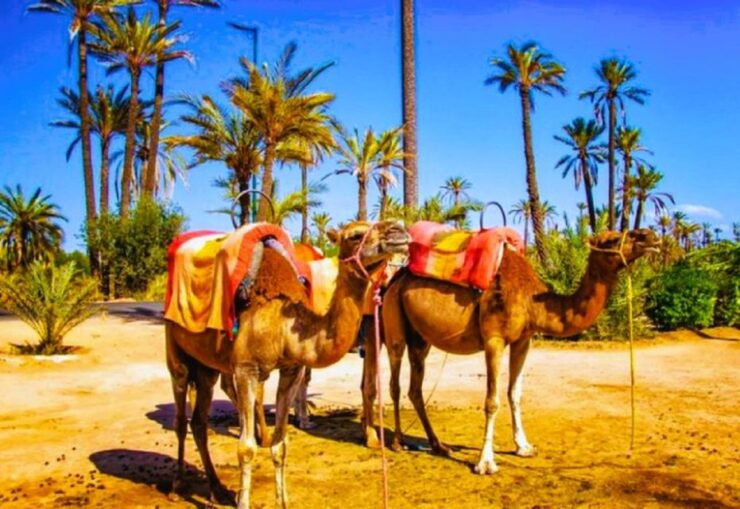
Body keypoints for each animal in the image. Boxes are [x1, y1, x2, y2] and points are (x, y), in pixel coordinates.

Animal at [165, 220, 409, 508]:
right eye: (355, 235)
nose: (399, 230)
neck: (282, 324)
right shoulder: (246, 369)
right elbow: (246, 448)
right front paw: (243, 500)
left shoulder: (291, 369)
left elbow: (280, 445)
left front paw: (282, 501)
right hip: (175, 349)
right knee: (181, 415)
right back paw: (177, 485)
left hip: (206, 367)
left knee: (199, 421)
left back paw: (218, 489)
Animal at [362, 229, 659, 475]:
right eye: (612, 239)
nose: (651, 236)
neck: (532, 300)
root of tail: (394, 279)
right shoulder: (494, 339)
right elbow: (492, 401)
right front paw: (485, 462)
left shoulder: (523, 340)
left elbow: (514, 394)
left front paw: (524, 447)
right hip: (394, 323)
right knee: (395, 383)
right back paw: (398, 442)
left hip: (421, 338)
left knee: (415, 388)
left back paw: (437, 445)